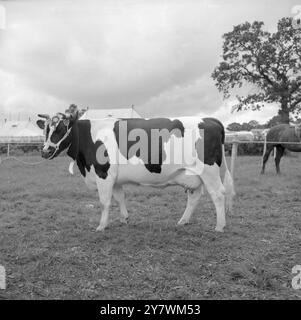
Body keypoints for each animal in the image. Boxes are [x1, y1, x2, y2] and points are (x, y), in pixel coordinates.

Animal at [37, 107, 234, 232]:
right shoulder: (114, 178)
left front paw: (101, 226)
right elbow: (119, 198)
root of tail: (209, 119)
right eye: (45, 129)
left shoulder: (103, 173)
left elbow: (104, 202)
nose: (45, 151)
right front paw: (124, 219)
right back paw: (182, 221)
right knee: (194, 197)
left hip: (209, 171)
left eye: (61, 129)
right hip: (193, 175)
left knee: (218, 194)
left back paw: (219, 226)